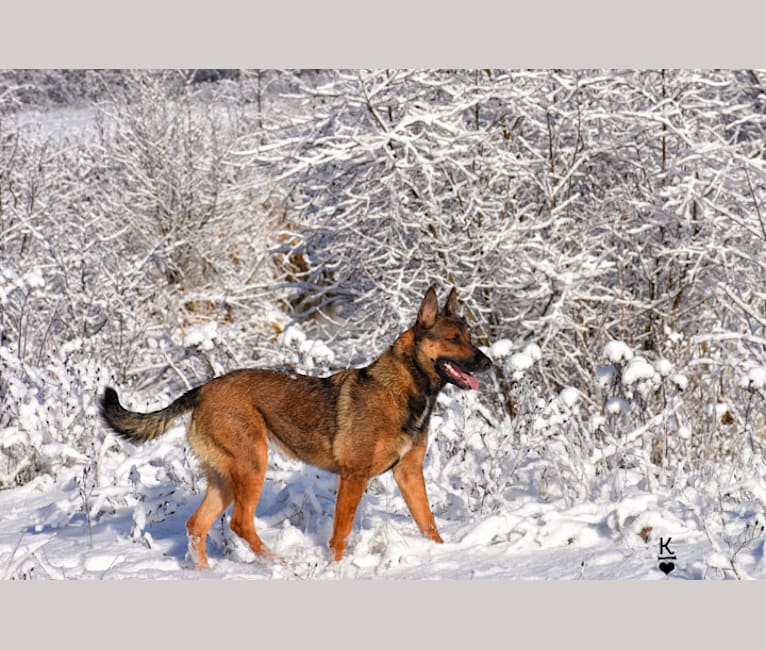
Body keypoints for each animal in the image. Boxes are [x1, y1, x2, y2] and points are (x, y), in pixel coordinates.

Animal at [100, 286, 492, 564]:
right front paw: (334, 569)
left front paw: (444, 556)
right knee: (240, 523)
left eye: (470, 336)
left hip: (225, 478)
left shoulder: (408, 474)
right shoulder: (354, 476)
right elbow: (341, 534)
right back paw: (280, 563)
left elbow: (429, 524)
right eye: (454, 339)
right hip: (252, 466)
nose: (488, 363)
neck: (406, 388)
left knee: (197, 527)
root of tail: (202, 390)